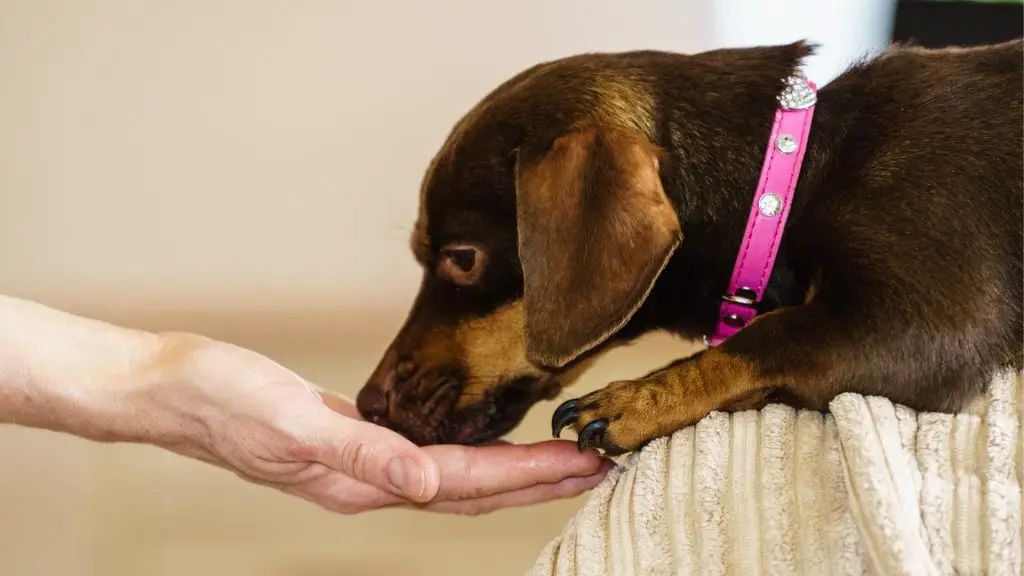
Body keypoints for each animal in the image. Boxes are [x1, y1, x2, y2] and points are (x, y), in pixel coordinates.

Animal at [356, 39, 1019, 453]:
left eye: (461, 259)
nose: (367, 405)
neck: (798, 169)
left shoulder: (928, 324)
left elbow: (765, 339)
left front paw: (638, 398)